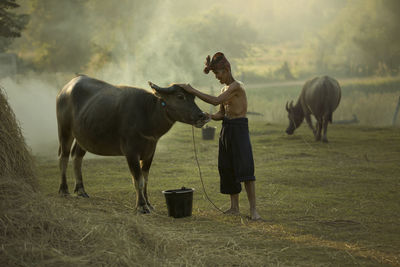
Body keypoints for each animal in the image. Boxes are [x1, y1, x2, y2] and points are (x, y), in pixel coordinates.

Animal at [57, 75, 208, 214]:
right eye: (180, 96)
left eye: (193, 98)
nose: (203, 116)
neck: (148, 113)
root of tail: (64, 89)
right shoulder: (131, 152)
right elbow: (138, 180)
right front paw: (141, 206)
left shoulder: (150, 151)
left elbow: (145, 179)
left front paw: (148, 203)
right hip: (64, 130)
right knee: (63, 156)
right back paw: (63, 190)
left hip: (83, 137)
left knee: (76, 157)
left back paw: (80, 190)